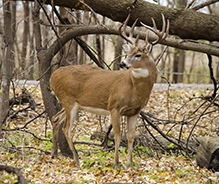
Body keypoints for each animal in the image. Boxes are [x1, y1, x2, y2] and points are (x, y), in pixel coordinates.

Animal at [51, 13, 169, 167]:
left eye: (138, 55)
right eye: (127, 53)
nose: (122, 63)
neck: (134, 90)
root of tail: (52, 76)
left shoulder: (135, 111)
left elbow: (130, 136)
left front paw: (130, 163)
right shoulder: (114, 106)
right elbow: (118, 135)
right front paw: (116, 163)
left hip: (72, 103)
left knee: (55, 118)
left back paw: (54, 154)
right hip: (68, 100)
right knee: (66, 128)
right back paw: (76, 159)